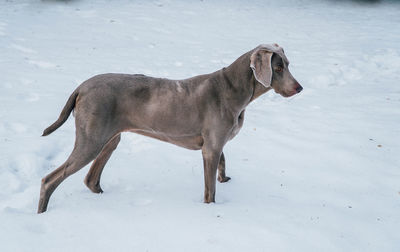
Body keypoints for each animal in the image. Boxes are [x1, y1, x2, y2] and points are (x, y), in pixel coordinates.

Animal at [38, 43, 304, 213]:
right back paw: (42, 212)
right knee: (50, 180)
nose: (299, 88)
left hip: (110, 139)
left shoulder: (214, 143)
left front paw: (225, 178)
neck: (235, 88)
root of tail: (81, 87)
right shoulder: (210, 148)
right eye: (278, 68)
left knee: (90, 179)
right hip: (91, 140)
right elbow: (210, 190)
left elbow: (223, 160)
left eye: (289, 64)